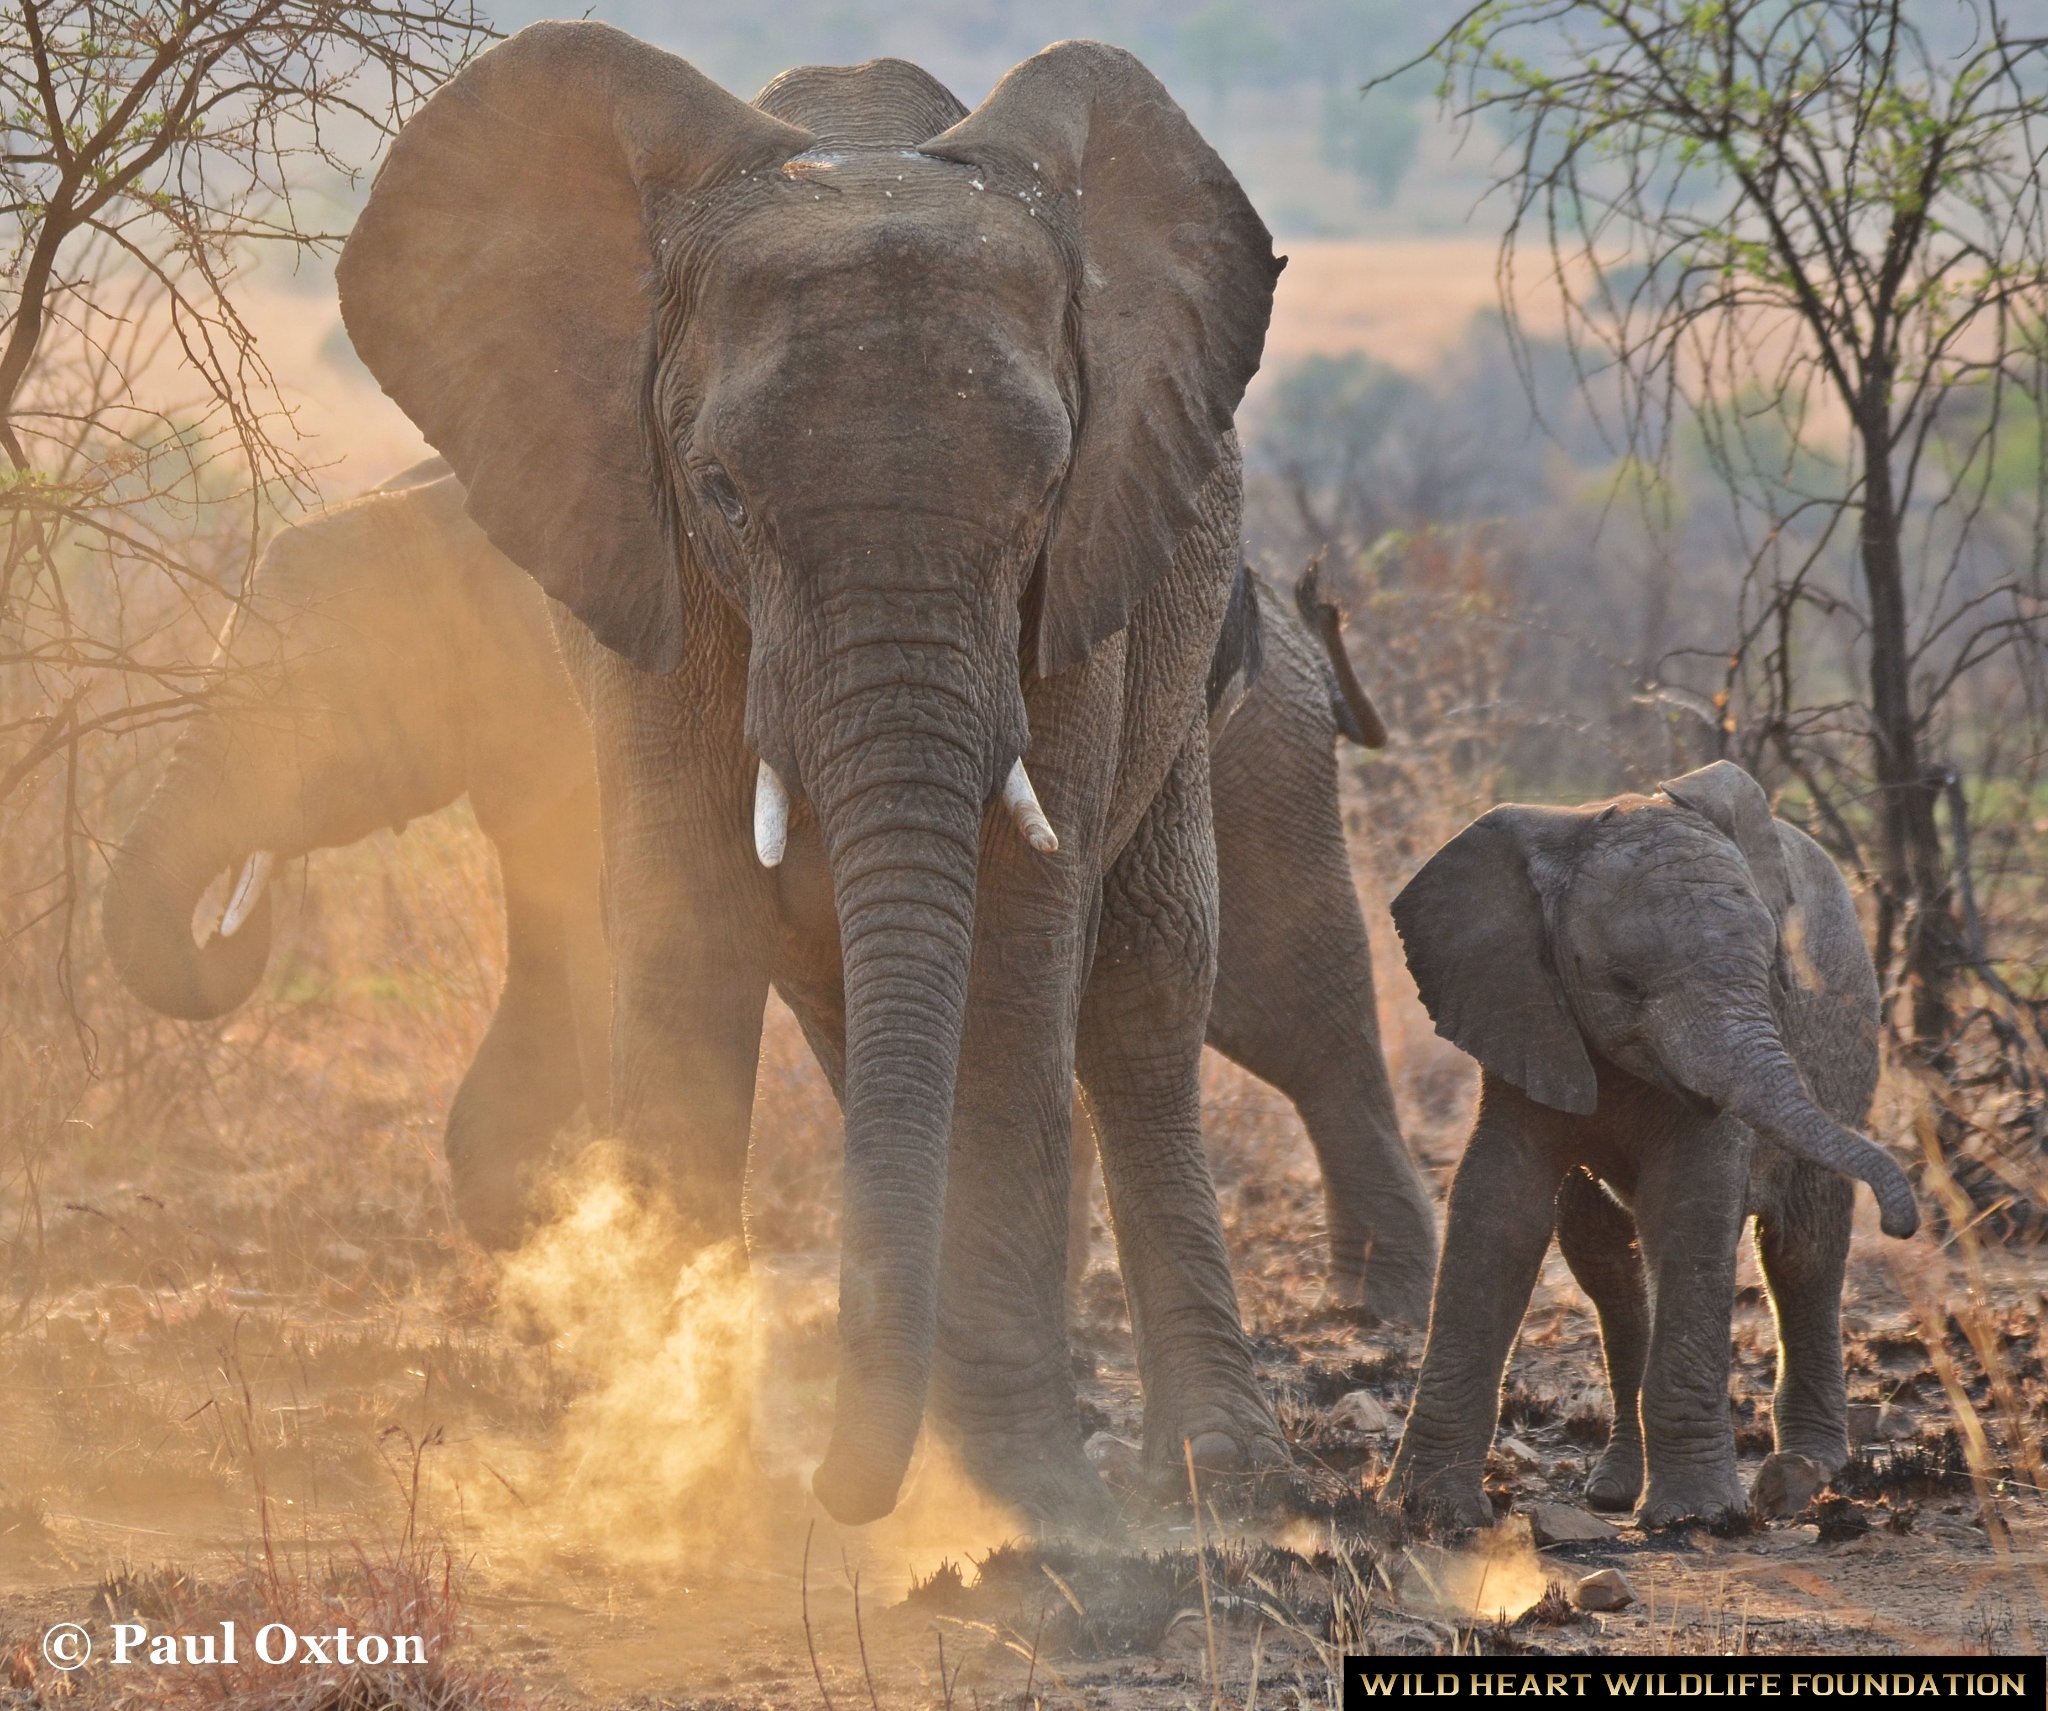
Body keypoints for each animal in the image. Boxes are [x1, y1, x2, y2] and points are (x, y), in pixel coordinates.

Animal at [102, 461, 1437, 1323]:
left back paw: (1380, 1299)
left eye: (301, 698)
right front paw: (537, 1243)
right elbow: (565, 957)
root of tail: (1301, 617)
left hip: (1249, 751)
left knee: (1284, 1000)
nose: (256, 888)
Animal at [338, 29, 1303, 1530]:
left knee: (1142, 992)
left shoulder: (1078, 584)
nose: (835, 1499)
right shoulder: (648, 570)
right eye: (724, 492)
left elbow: (1020, 942)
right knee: (861, 1011)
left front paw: (1036, 1508)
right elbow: (682, 928)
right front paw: (691, 1500)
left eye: (1041, 495)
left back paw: (1211, 1466)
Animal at [1381, 761, 1918, 1530]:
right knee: (1604, 1258)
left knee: (1803, 1249)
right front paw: (1428, 1512)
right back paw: (1614, 1489)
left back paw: (1800, 1474)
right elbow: (1498, 1209)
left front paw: (1698, 1518)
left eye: (1772, 969)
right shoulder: (1518, 1004)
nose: (1904, 1222)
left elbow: (1691, 1208)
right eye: (1624, 982)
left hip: (1850, 1028)